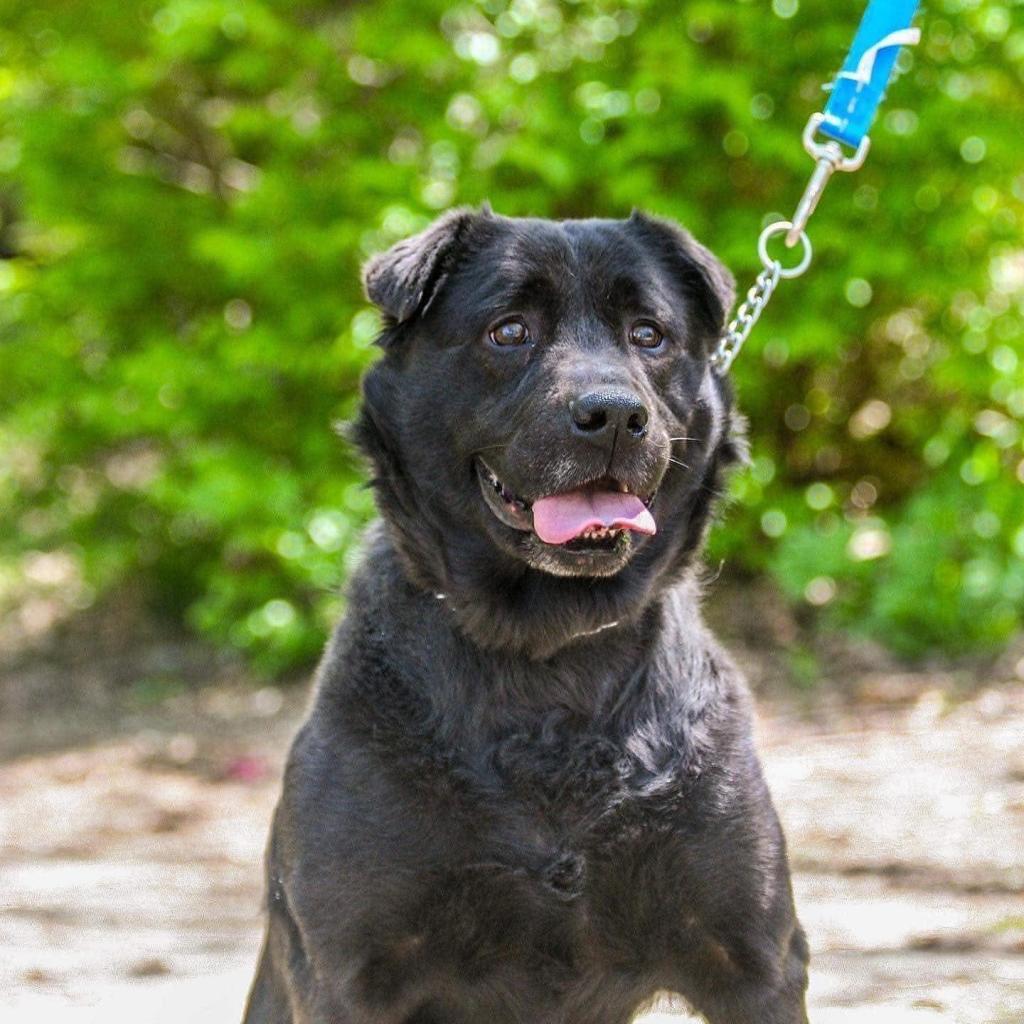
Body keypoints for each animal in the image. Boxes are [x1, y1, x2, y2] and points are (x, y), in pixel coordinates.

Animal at [241, 207, 806, 1024]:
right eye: (509, 331)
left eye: (649, 334)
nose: (614, 415)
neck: (550, 651)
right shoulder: (349, 970)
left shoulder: (753, 958)